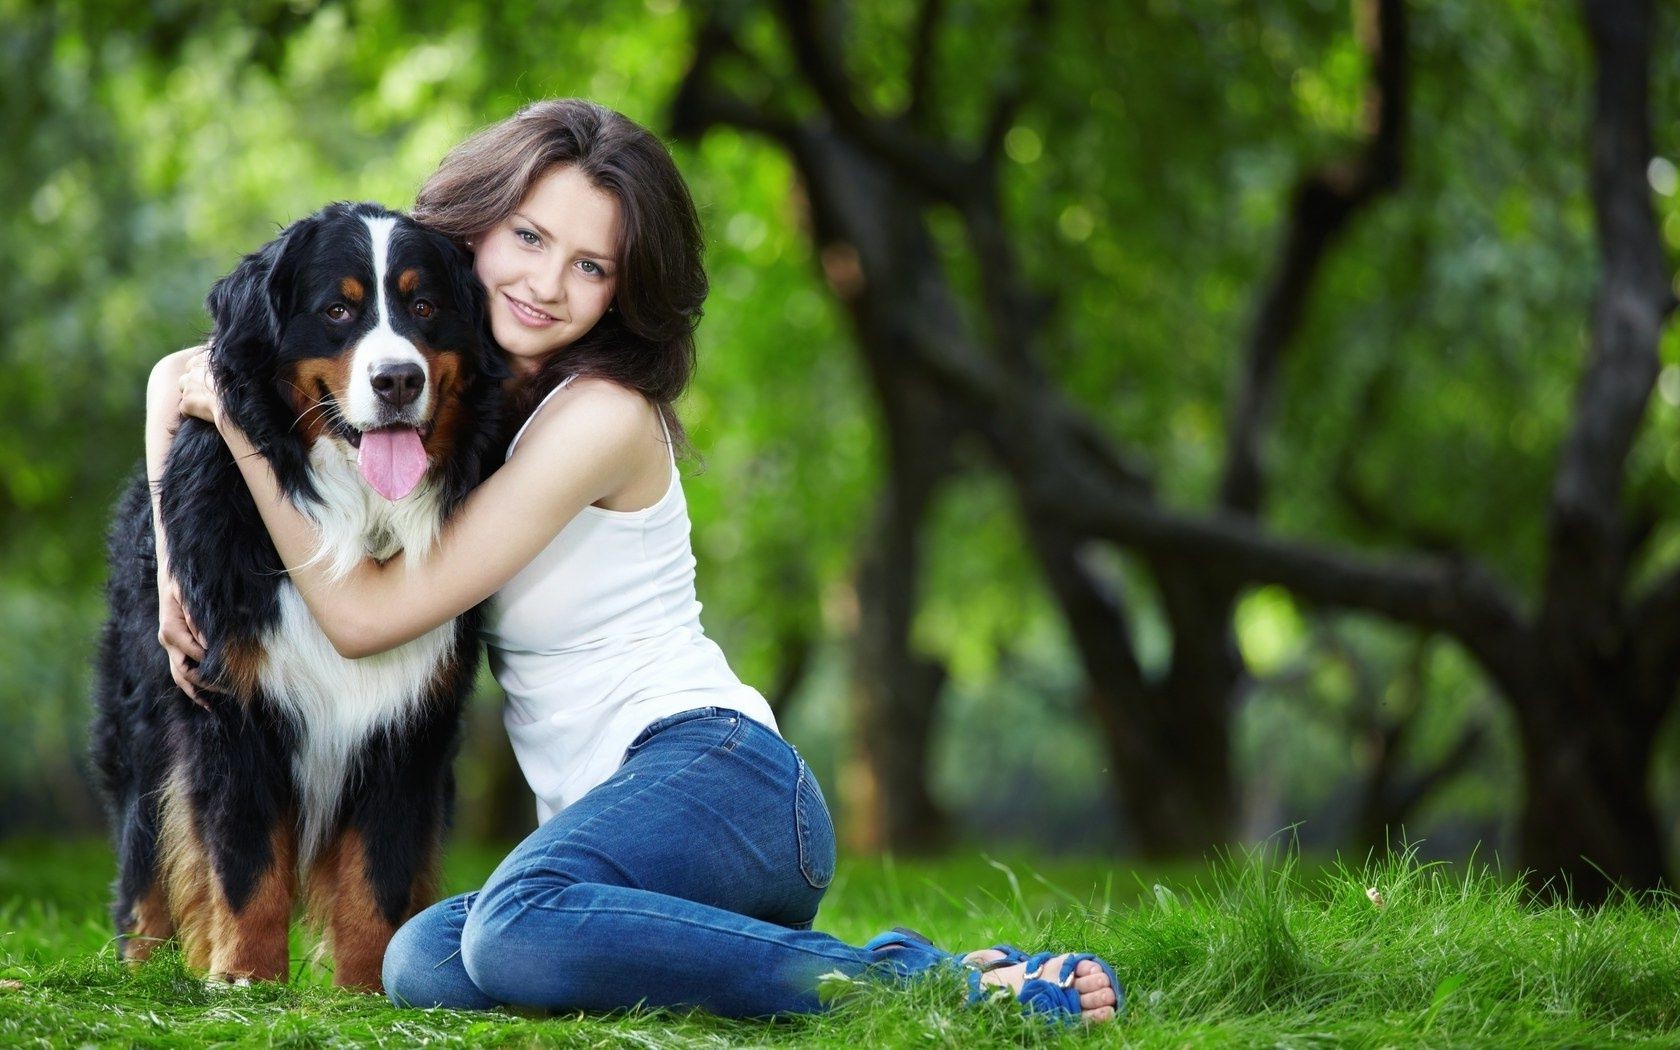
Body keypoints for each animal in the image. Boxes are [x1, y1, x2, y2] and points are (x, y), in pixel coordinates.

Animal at [90, 200, 503, 987]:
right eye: (337, 309)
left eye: (425, 307)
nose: (398, 380)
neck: (352, 517)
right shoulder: (230, 700)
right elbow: (246, 862)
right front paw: (245, 977)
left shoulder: (409, 718)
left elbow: (379, 870)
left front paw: (366, 986)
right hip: (142, 719)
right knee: (143, 857)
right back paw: (142, 966)